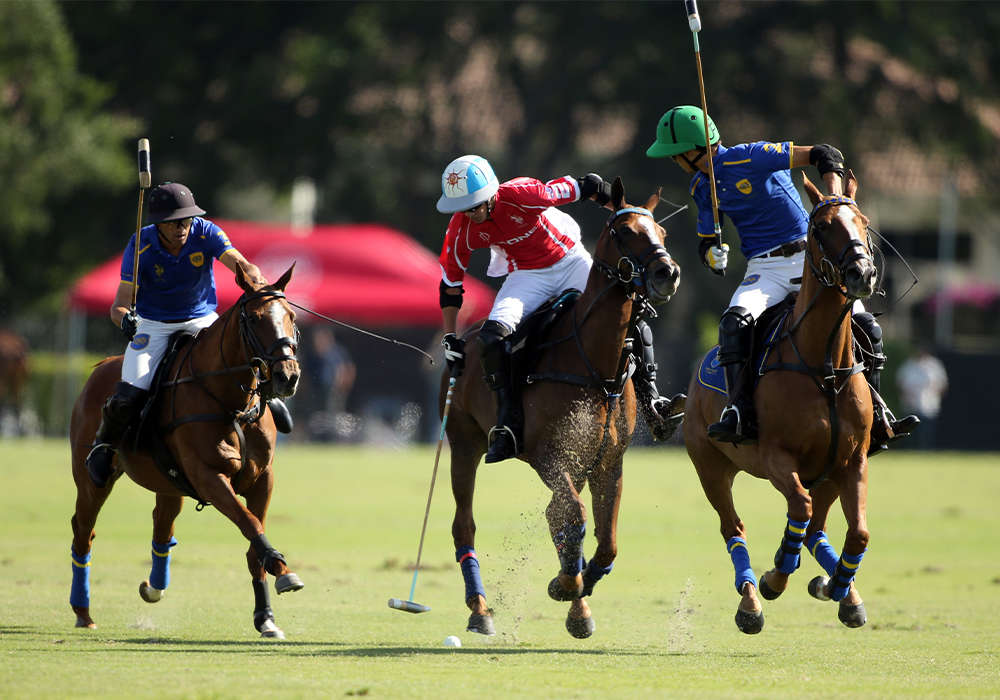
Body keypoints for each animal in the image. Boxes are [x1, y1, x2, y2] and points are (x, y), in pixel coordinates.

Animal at [70, 266, 304, 640]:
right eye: (254, 319)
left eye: (291, 316)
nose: (287, 376)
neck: (232, 402)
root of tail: (102, 365)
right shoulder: (209, 476)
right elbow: (250, 523)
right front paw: (282, 568)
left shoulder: (262, 479)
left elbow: (253, 541)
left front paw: (266, 616)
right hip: (92, 479)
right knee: (84, 531)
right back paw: (83, 611)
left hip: (169, 483)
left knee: (162, 527)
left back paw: (153, 588)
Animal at [444, 179, 680, 640]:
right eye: (625, 232)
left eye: (662, 232)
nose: (668, 273)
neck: (594, 363)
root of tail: (469, 339)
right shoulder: (549, 454)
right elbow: (574, 515)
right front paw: (565, 585)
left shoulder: (608, 461)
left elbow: (605, 541)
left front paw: (579, 589)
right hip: (463, 442)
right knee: (465, 523)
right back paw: (480, 609)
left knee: (561, 517)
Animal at [684, 172, 880, 632]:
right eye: (820, 226)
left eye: (863, 221)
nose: (862, 272)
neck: (824, 365)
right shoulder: (777, 457)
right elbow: (798, 509)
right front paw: (776, 576)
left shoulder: (853, 460)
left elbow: (858, 532)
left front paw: (838, 585)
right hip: (709, 465)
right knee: (735, 528)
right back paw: (751, 602)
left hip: (827, 474)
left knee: (816, 530)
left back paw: (841, 591)